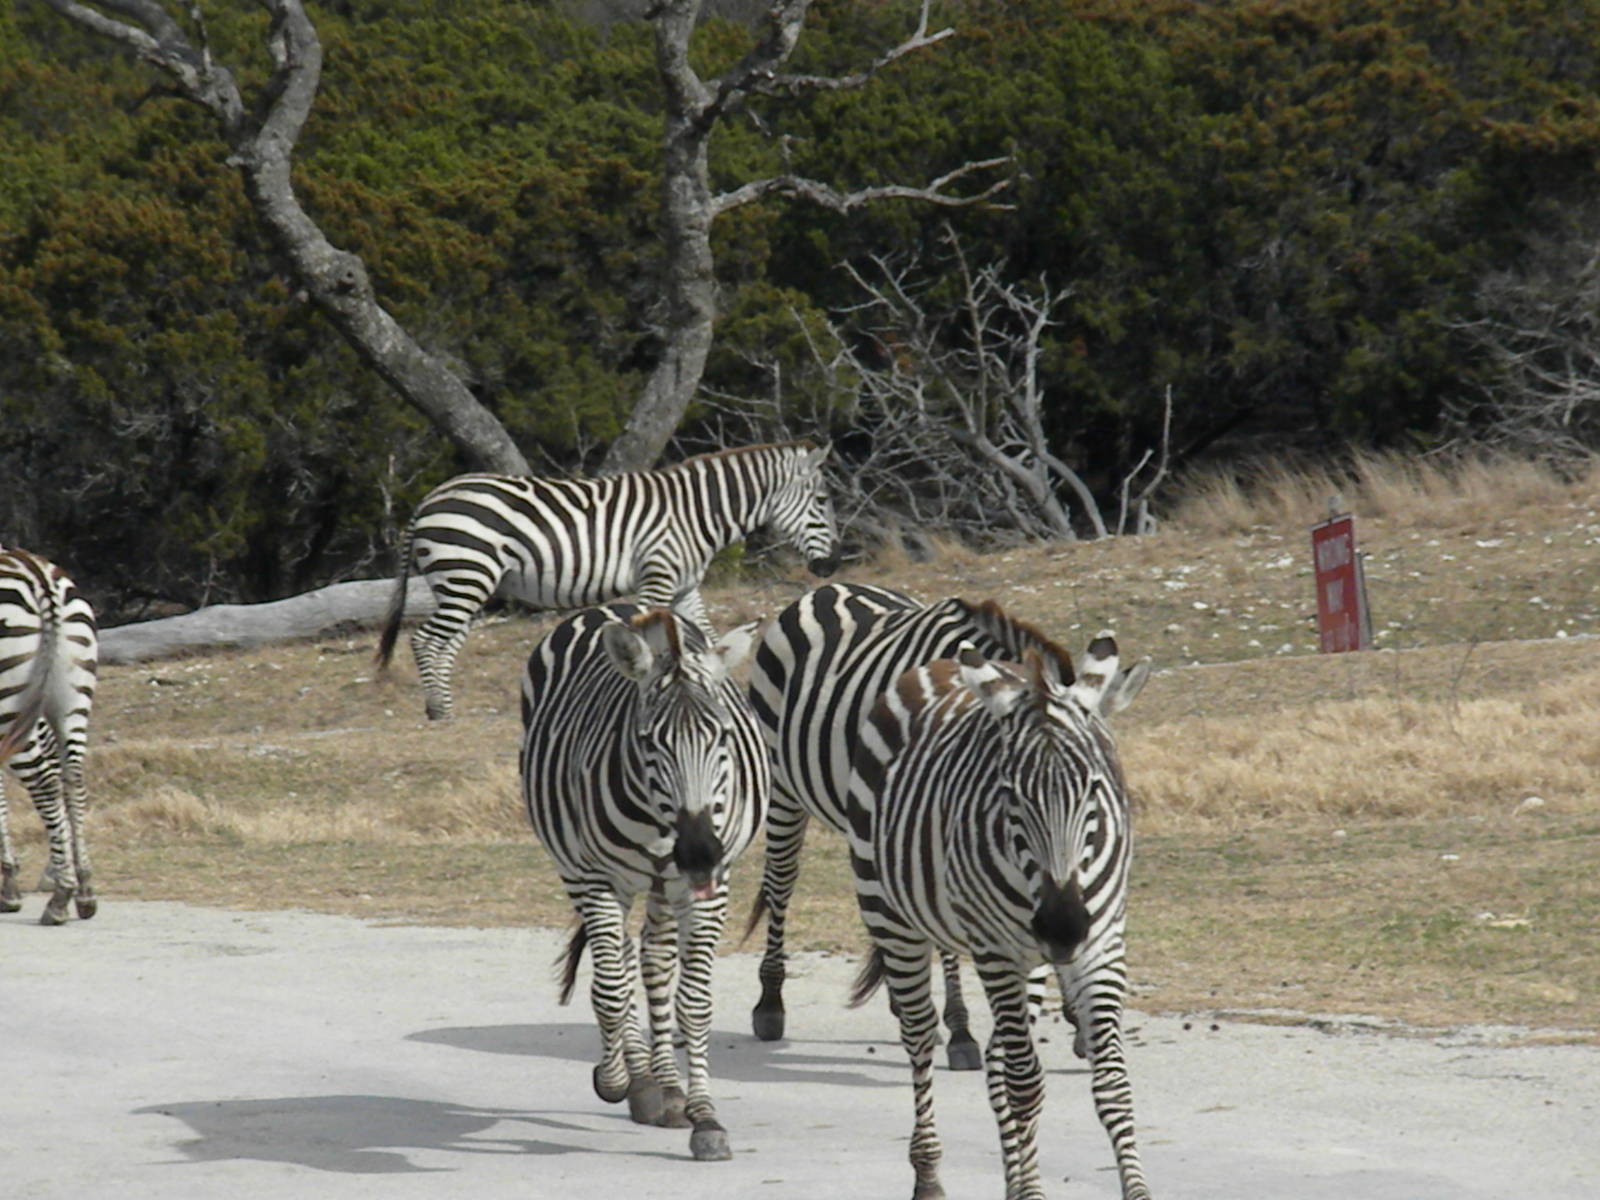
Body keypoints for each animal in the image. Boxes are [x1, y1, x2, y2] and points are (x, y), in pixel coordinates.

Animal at [0, 548, 99, 926]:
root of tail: (36, 573)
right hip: (69, 700)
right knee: (72, 779)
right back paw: (83, 890)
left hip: (10, 704)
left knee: (46, 783)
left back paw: (60, 897)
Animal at [378, 440, 839, 721]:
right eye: (821, 500)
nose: (832, 564)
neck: (695, 514)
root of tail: (429, 499)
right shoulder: (656, 577)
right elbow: (656, 642)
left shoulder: (686, 587)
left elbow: (707, 639)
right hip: (467, 571)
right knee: (426, 639)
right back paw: (441, 712)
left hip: (463, 581)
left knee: (448, 640)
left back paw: (442, 705)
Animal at [520, 603, 769, 1161]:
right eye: (648, 741)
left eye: (722, 737)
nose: (699, 852)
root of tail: (615, 605)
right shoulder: (596, 878)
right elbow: (612, 991)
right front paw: (616, 1081)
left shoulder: (711, 887)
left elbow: (693, 1003)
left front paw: (705, 1118)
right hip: (582, 870)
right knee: (620, 964)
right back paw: (642, 1083)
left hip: (664, 887)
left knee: (652, 959)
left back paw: (670, 1089)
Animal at [744, 581, 1144, 1065]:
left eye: (1100, 774)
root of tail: (830, 587)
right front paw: (961, 1029)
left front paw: (1076, 1014)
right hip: (785, 785)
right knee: (781, 881)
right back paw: (770, 1004)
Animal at [846, 636, 1152, 1200]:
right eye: (1010, 795)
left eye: (1094, 787)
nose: (1061, 927)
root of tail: (939, 664)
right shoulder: (997, 951)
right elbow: (1023, 1083)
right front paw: (1029, 1192)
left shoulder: (1102, 941)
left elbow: (1113, 1083)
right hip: (891, 916)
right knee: (919, 1035)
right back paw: (928, 1176)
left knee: (993, 1061)